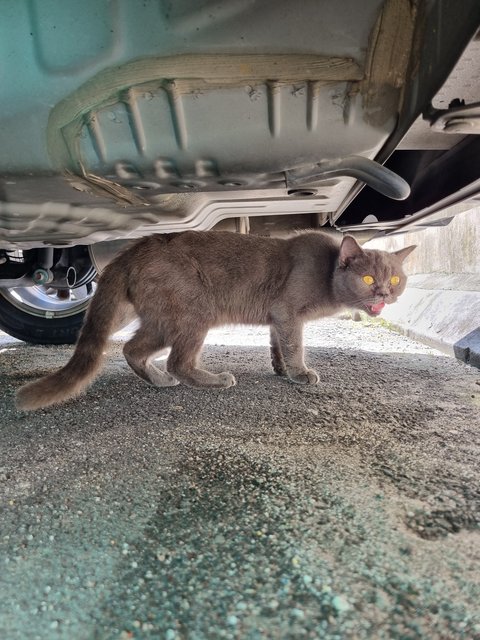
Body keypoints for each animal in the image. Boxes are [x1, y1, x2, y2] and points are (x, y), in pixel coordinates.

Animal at [16, 230, 416, 410]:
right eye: (368, 278)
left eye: (396, 279)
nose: (385, 293)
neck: (327, 272)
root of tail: (132, 250)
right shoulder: (288, 313)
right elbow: (295, 344)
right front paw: (300, 373)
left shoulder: (277, 318)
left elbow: (278, 343)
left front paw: (280, 369)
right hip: (194, 310)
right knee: (176, 360)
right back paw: (212, 380)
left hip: (134, 312)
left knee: (130, 348)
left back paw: (158, 379)